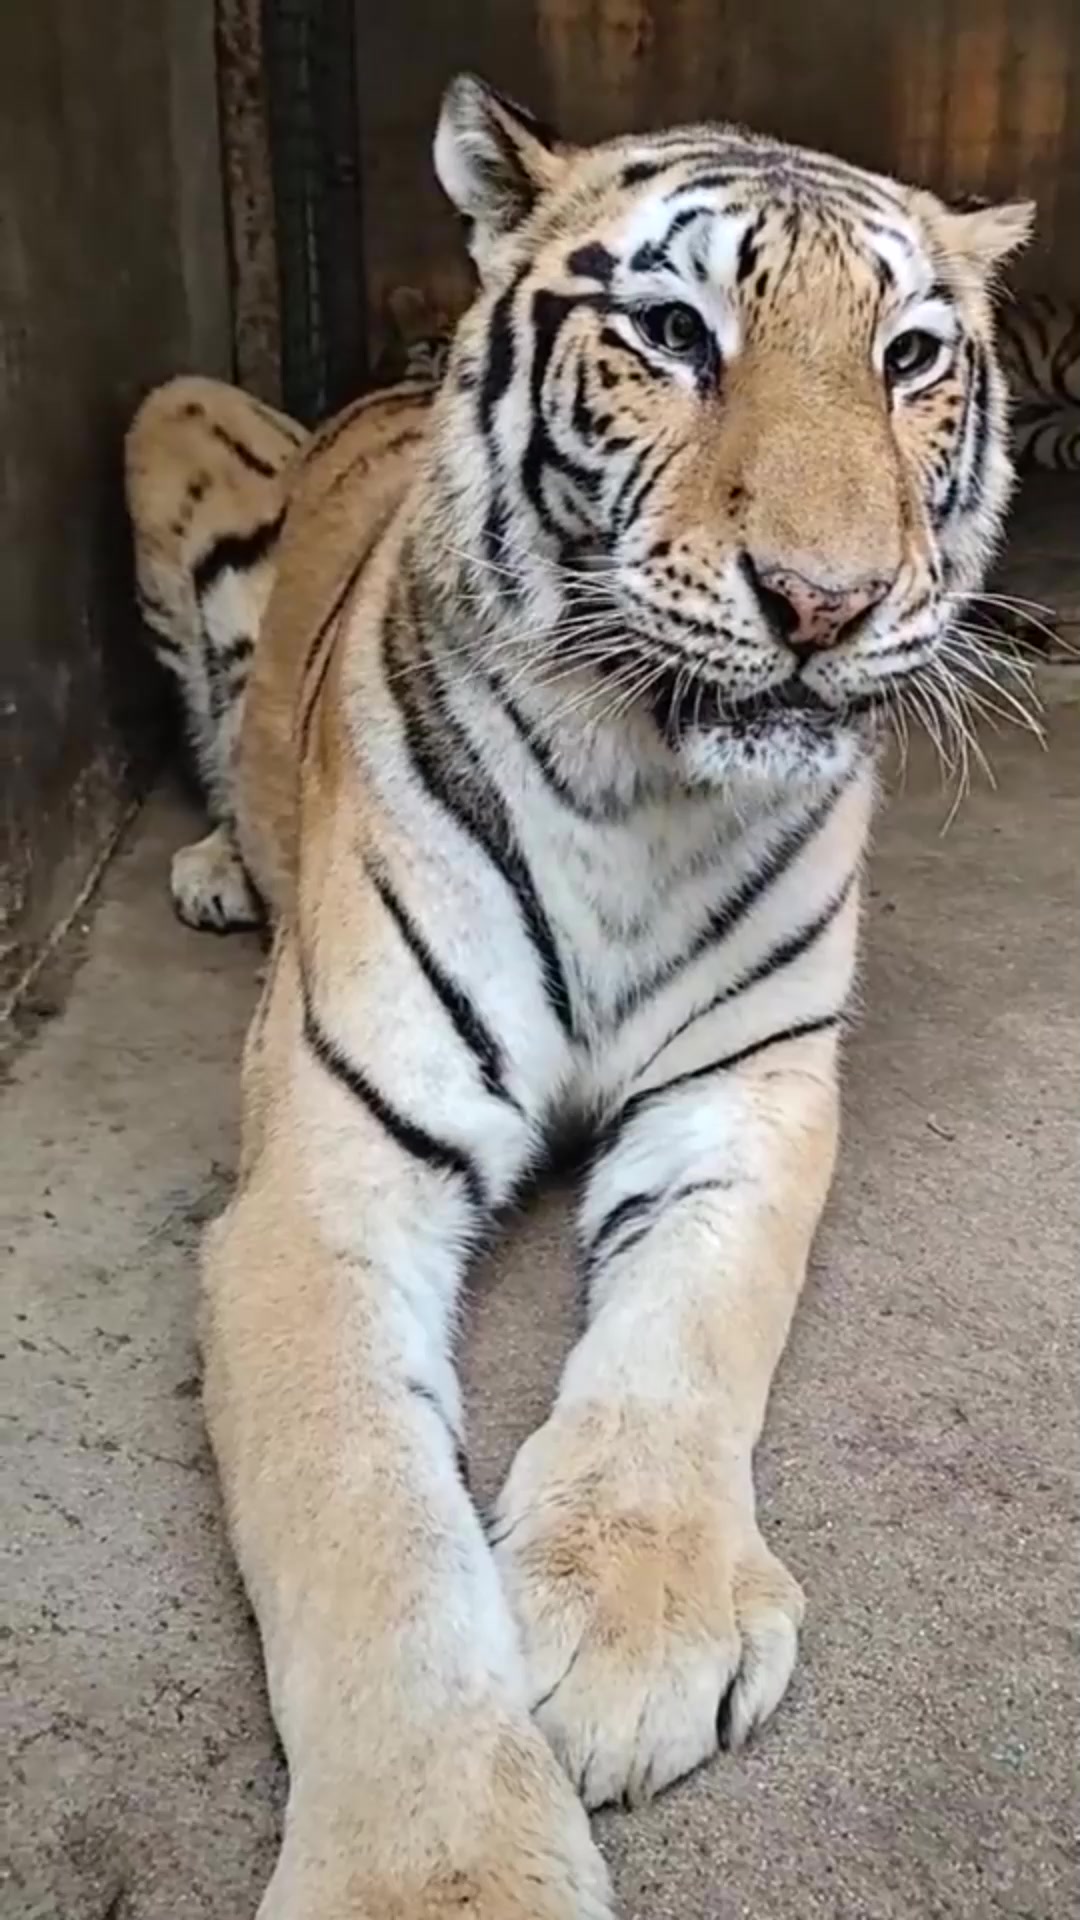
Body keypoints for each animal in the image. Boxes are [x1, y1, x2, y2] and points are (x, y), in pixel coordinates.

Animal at [129, 73, 1033, 1920]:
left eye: (910, 357)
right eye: (675, 333)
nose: (825, 601)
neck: (649, 783)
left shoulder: (747, 1097)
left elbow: (684, 1340)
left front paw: (631, 1625)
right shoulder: (326, 1177)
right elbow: (365, 1515)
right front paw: (434, 1877)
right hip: (178, 420)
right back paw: (216, 868)